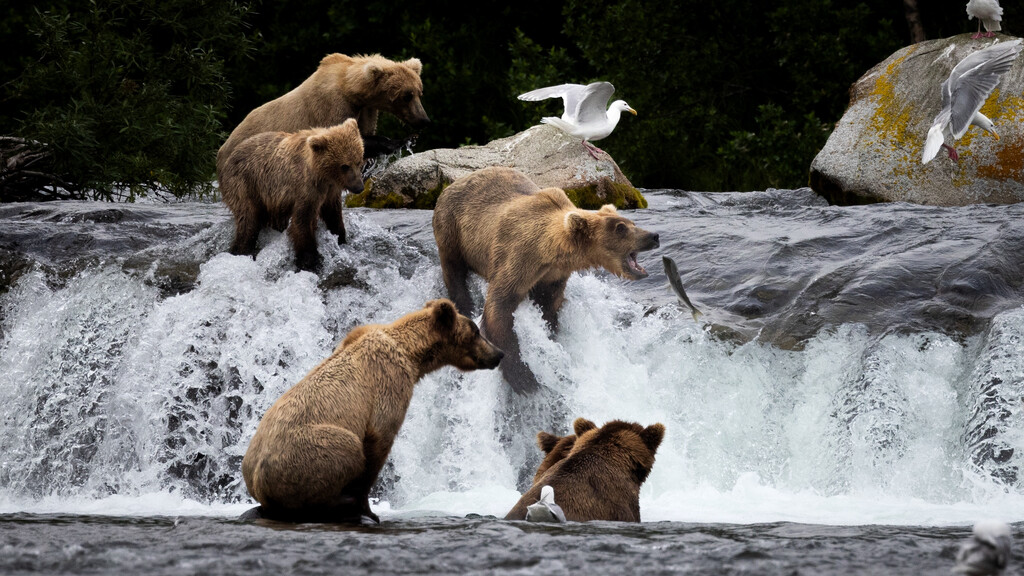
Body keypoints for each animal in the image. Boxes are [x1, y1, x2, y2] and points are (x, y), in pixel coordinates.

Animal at [217, 53, 429, 179]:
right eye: (406, 95)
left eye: (419, 92)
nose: (424, 120)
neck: (352, 90)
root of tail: (221, 149)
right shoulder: (331, 105)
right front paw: (403, 140)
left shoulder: (366, 109)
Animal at [220, 118, 364, 272]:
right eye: (344, 166)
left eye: (358, 161)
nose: (359, 187)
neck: (323, 175)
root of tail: (230, 155)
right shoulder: (306, 188)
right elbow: (302, 220)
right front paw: (309, 260)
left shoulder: (330, 191)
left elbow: (333, 214)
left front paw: (341, 238)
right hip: (244, 183)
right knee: (248, 219)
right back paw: (241, 250)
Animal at [241, 298, 504, 524]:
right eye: (476, 332)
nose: (499, 353)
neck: (413, 355)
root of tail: (257, 483)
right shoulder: (389, 384)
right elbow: (377, 444)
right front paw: (368, 510)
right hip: (303, 452)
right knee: (345, 448)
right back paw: (338, 503)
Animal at [431, 166, 660, 394]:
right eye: (620, 228)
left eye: (632, 223)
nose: (653, 236)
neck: (551, 252)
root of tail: (452, 184)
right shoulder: (518, 259)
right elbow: (499, 307)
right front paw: (524, 377)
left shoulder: (553, 275)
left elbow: (549, 304)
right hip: (452, 229)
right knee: (453, 269)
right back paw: (463, 305)